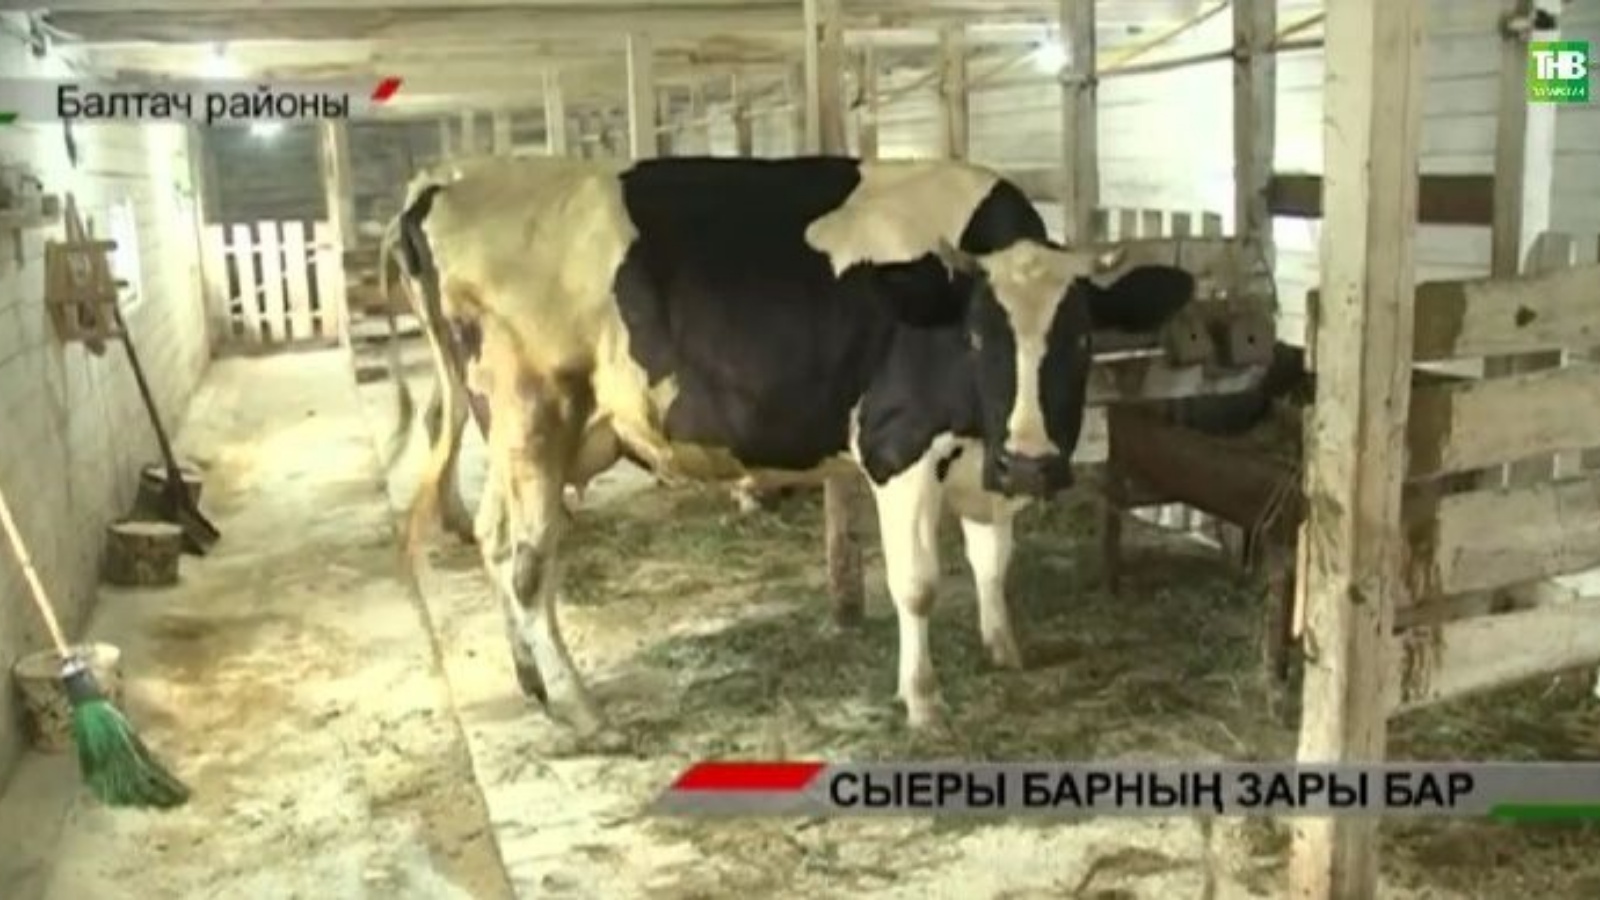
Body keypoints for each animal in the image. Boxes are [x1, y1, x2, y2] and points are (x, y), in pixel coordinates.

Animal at [389, 154, 1196, 736]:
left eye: (1081, 337)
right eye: (977, 336)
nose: (1031, 463)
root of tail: (450, 185)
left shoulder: (979, 459)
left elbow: (993, 560)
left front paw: (1006, 652)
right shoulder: (898, 447)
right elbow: (917, 584)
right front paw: (924, 702)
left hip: (527, 441)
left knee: (501, 544)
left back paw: (533, 684)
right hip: (533, 420)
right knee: (528, 569)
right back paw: (586, 710)